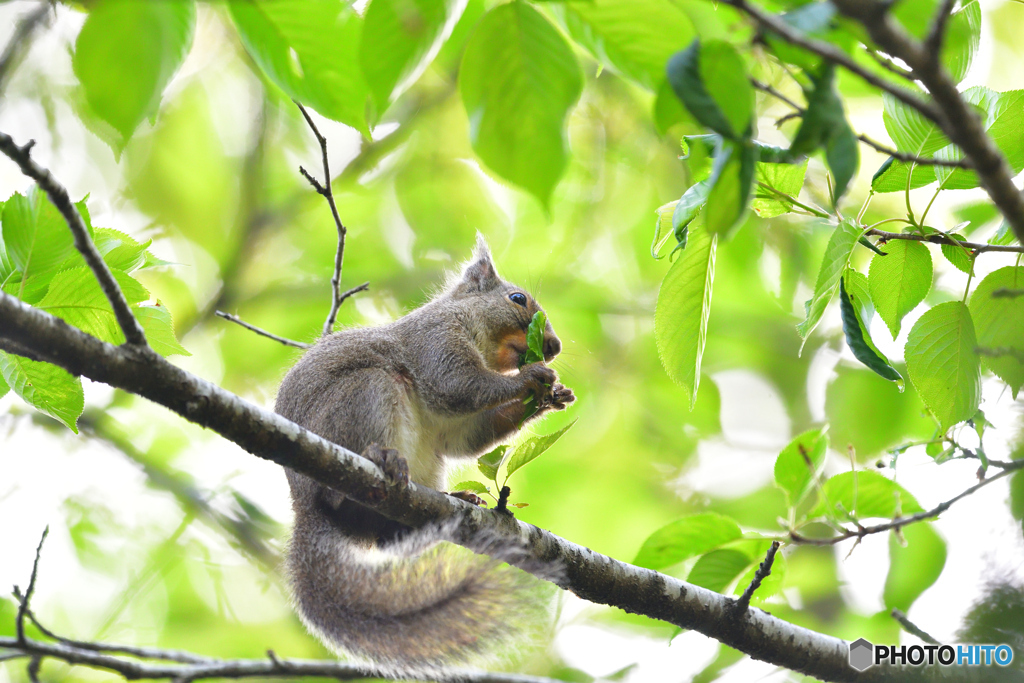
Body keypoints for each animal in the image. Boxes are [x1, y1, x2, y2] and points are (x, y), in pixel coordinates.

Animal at [272, 237, 577, 675]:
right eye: (517, 298)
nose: (553, 347)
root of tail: (304, 504)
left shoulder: (452, 429)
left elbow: (467, 437)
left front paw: (551, 398)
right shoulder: (435, 342)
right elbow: (462, 385)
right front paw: (532, 378)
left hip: (425, 468)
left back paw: (452, 499)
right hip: (364, 396)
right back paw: (381, 459)